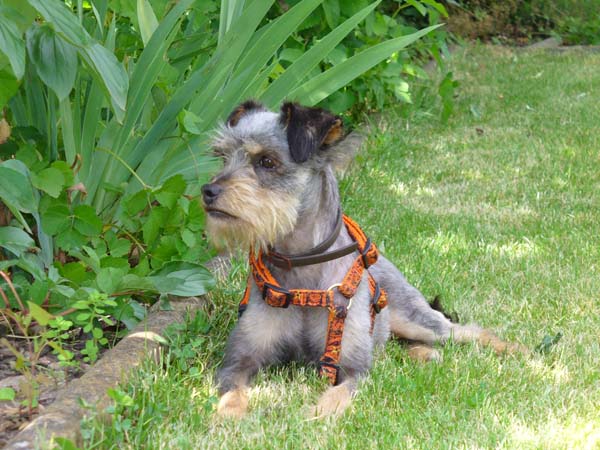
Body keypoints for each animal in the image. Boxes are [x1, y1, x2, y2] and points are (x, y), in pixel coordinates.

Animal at [203, 100, 524, 420]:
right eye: (223, 157)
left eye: (267, 161)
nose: (208, 191)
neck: (303, 276)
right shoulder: (238, 361)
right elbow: (232, 393)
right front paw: (229, 417)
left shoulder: (352, 369)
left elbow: (336, 396)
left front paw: (316, 414)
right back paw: (423, 354)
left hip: (416, 319)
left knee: (465, 331)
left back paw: (513, 349)